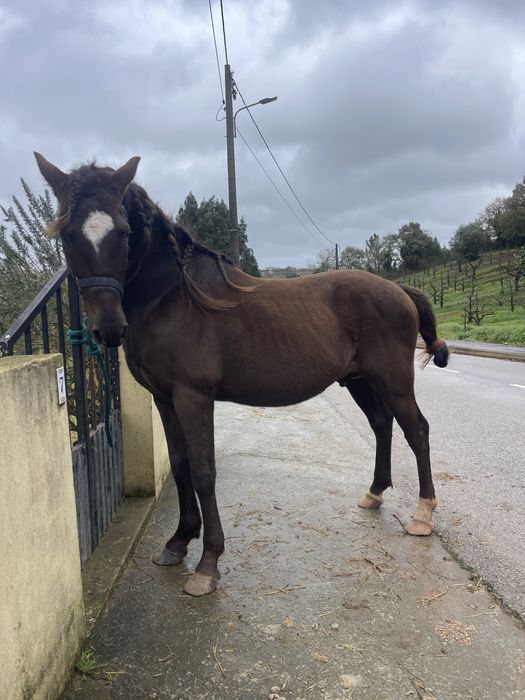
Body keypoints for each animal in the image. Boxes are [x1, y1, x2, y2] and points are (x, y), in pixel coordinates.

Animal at [34, 153, 449, 597]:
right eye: (67, 234)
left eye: (125, 232)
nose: (109, 328)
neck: (175, 297)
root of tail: (399, 289)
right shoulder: (164, 398)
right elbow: (180, 465)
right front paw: (178, 542)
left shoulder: (193, 396)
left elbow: (203, 471)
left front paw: (208, 563)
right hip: (359, 381)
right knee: (381, 424)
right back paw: (374, 494)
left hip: (393, 380)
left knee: (417, 430)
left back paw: (422, 515)